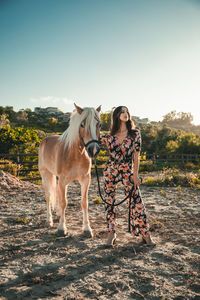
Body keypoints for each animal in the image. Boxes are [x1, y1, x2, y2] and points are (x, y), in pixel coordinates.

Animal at [38, 103, 101, 237]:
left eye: (99, 125)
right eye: (82, 124)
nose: (93, 150)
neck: (75, 154)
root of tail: (44, 140)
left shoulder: (85, 180)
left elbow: (84, 203)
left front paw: (87, 229)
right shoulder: (63, 181)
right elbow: (63, 202)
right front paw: (62, 228)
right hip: (45, 174)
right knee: (48, 196)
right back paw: (49, 220)